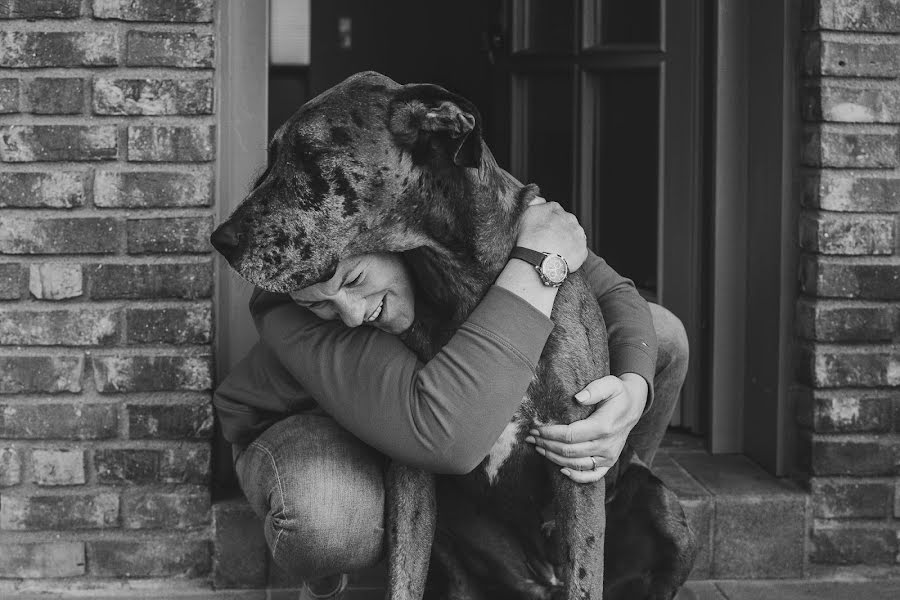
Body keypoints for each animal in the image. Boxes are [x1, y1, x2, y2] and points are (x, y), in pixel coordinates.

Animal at [213, 72, 696, 596]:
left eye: (308, 153)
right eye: (273, 154)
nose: (220, 239)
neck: (467, 281)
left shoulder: (578, 462)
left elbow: (586, 577)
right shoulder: (411, 473)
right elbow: (404, 577)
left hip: (667, 512)